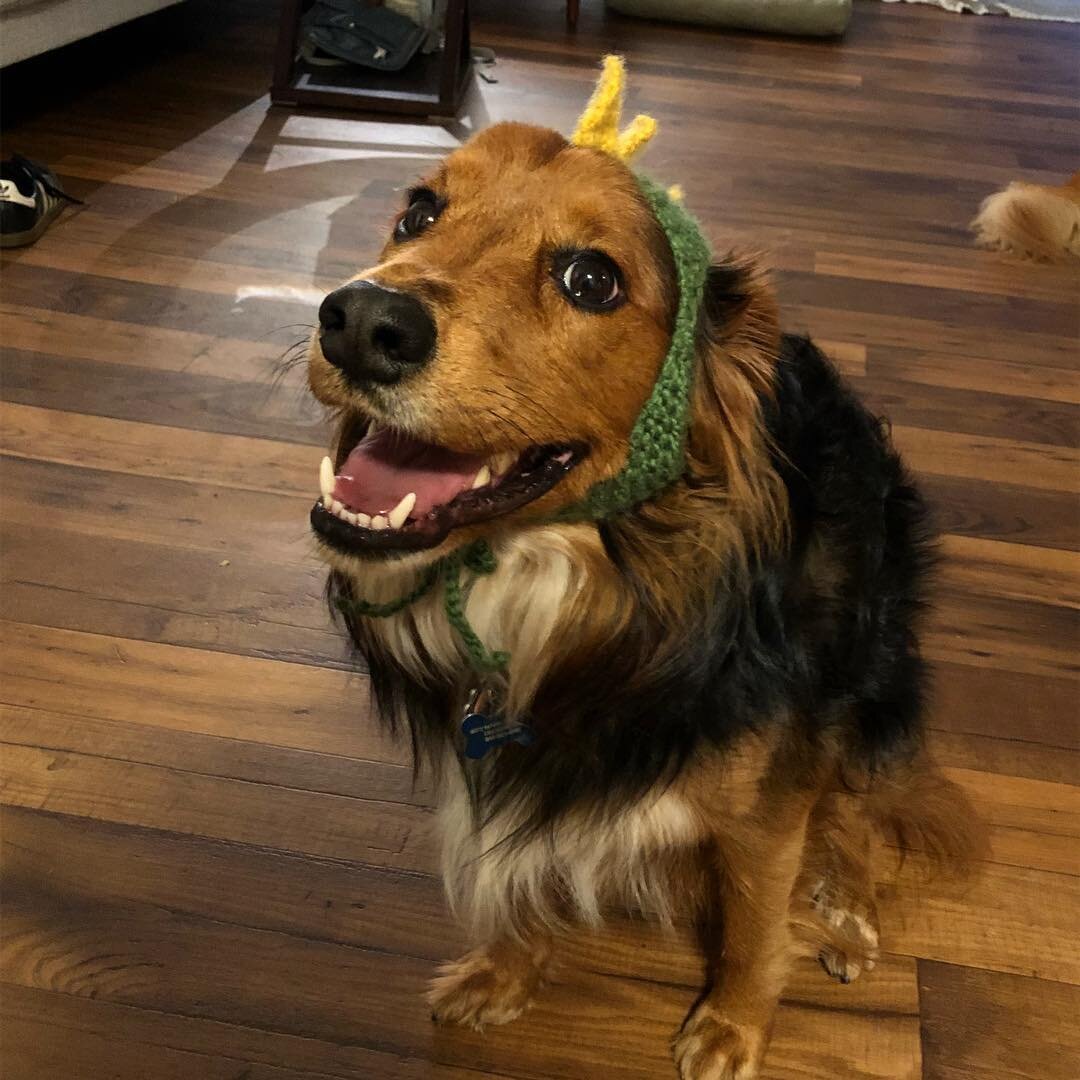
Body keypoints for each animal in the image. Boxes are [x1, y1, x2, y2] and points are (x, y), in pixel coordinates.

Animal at [304, 56, 980, 1080]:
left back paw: (851, 913)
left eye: (591, 278)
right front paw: (504, 973)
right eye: (419, 211)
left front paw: (733, 1026)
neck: (578, 569)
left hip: (873, 678)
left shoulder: (763, 807)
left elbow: (756, 922)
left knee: (862, 807)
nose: (358, 321)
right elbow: (508, 873)